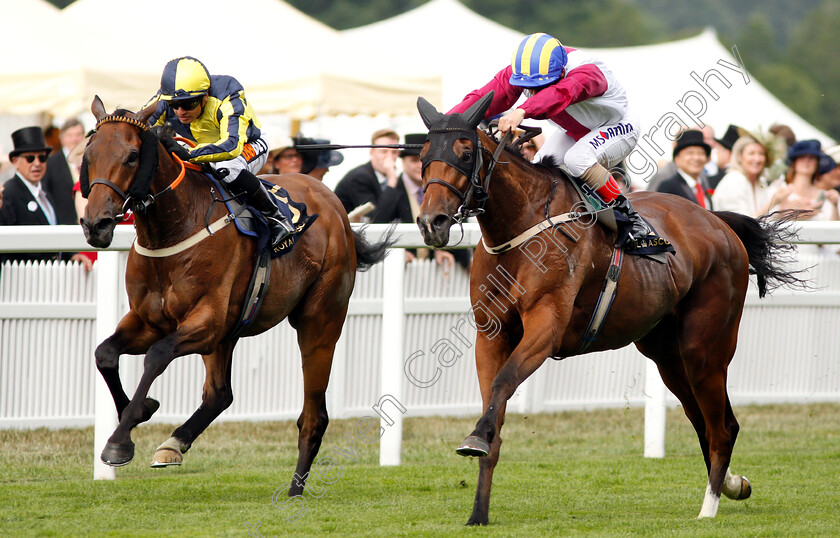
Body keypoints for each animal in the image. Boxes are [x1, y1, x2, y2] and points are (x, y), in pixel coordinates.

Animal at [416, 92, 804, 524]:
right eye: (423, 154)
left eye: (466, 153)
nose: (431, 221)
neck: (521, 228)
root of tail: (718, 221)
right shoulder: (491, 335)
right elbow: (494, 410)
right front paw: (478, 510)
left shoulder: (545, 328)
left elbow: (503, 384)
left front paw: (473, 440)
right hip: (666, 354)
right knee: (709, 420)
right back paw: (734, 485)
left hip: (704, 347)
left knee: (719, 427)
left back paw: (709, 508)